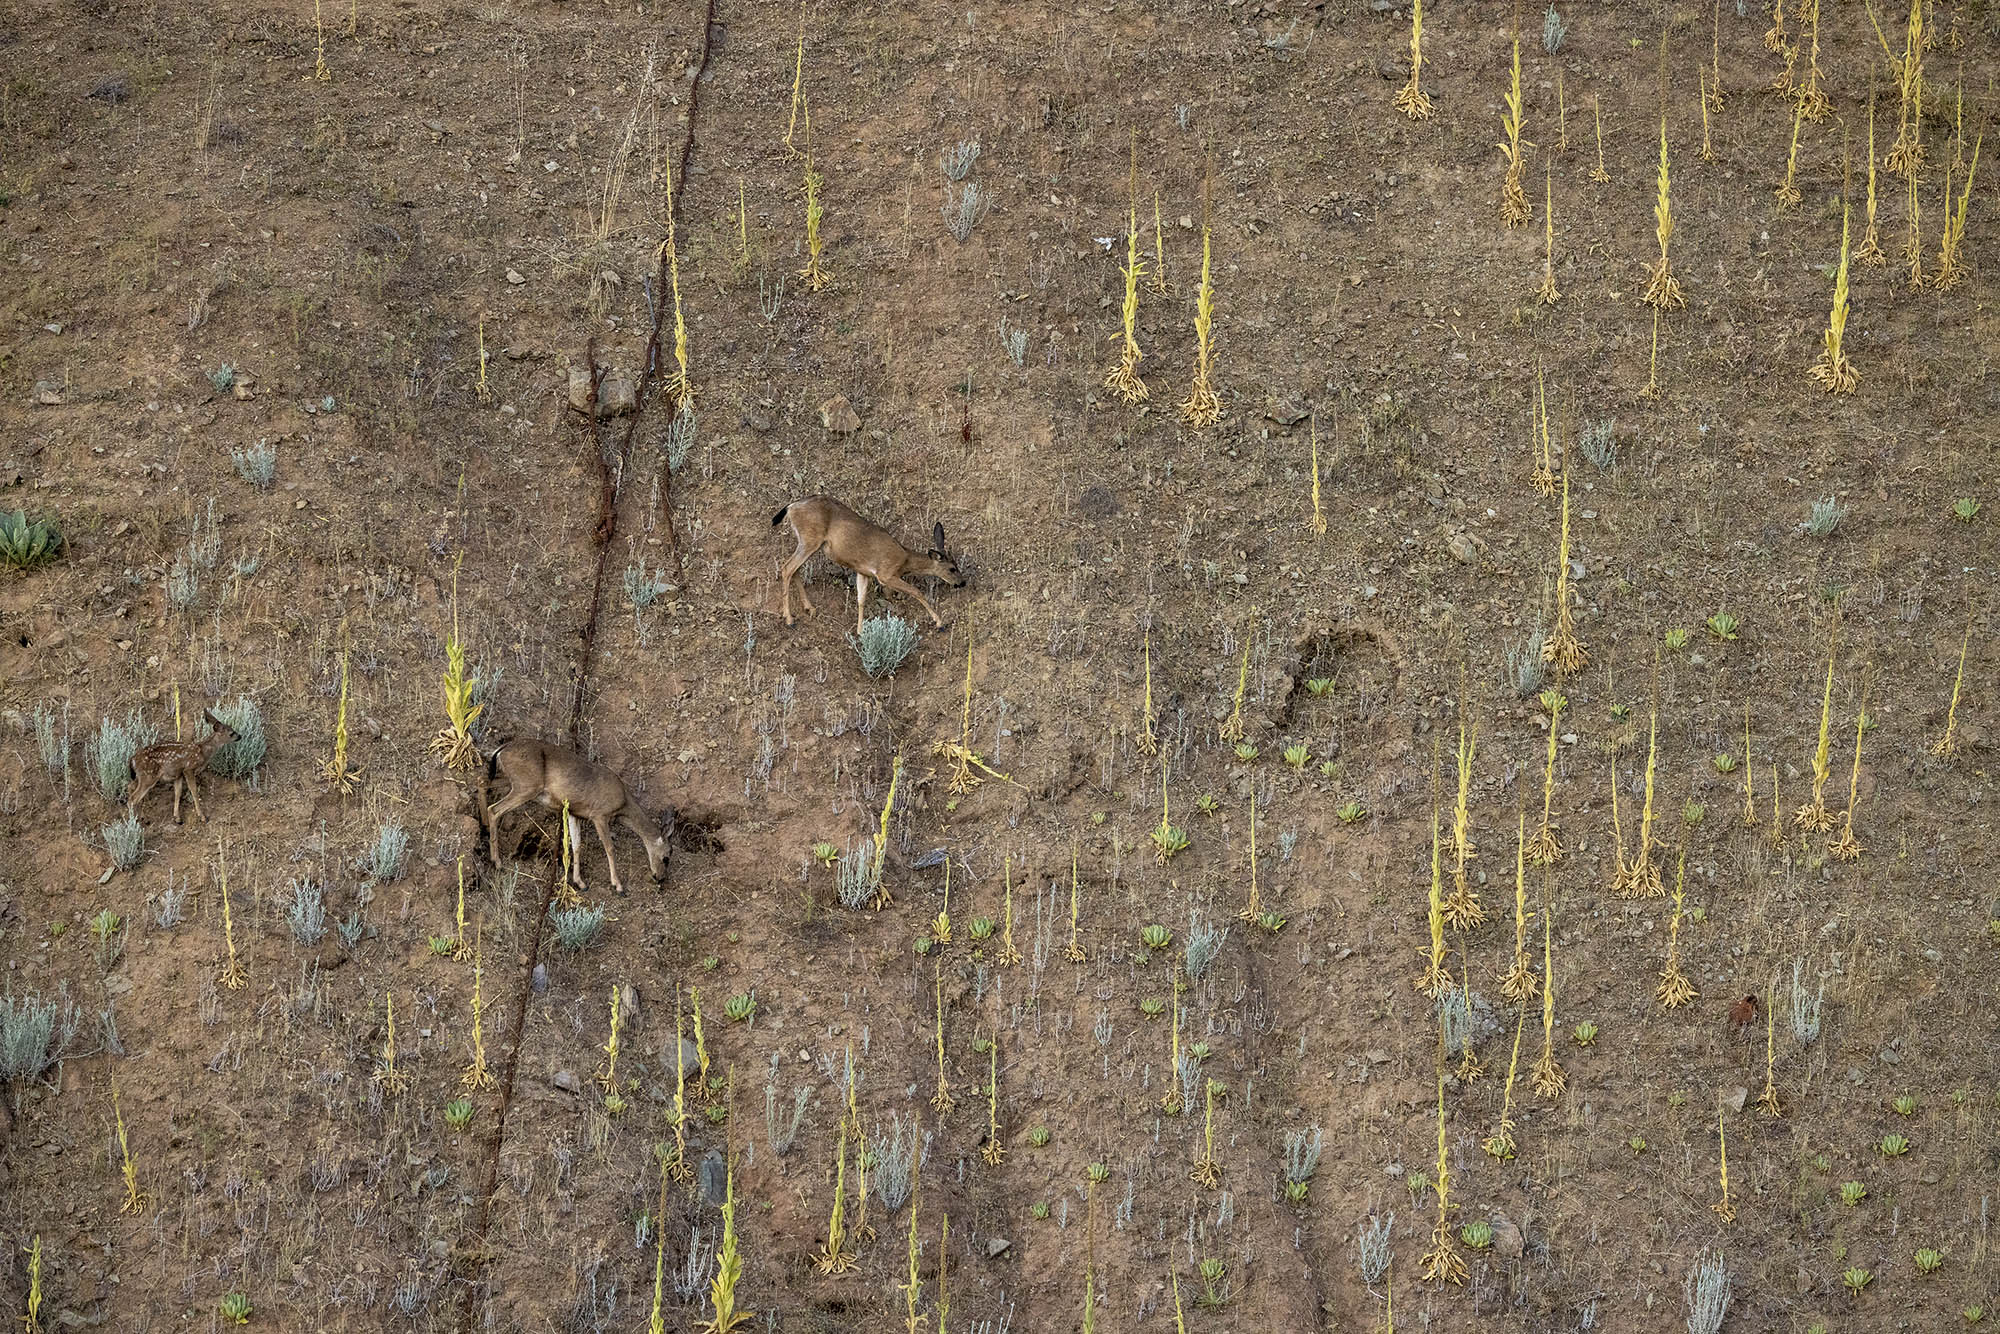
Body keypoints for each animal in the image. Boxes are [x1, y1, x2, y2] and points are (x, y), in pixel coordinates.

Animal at [474, 738, 674, 896]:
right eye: (667, 856)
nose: (660, 877)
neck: (623, 802)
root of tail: (502, 749)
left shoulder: (574, 813)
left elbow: (576, 845)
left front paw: (580, 882)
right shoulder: (599, 815)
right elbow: (609, 847)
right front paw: (618, 886)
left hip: (513, 781)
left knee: (482, 782)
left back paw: (483, 824)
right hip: (526, 786)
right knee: (495, 809)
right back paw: (497, 861)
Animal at [772, 496, 966, 635]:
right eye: (952, 568)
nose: (962, 583)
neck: (905, 559)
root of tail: (791, 507)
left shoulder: (863, 572)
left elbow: (861, 599)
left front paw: (860, 631)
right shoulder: (886, 574)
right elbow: (915, 591)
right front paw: (939, 623)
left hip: (809, 543)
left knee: (794, 569)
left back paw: (809, 608)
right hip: (810, 540)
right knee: (787, 568)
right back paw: (789, 619)